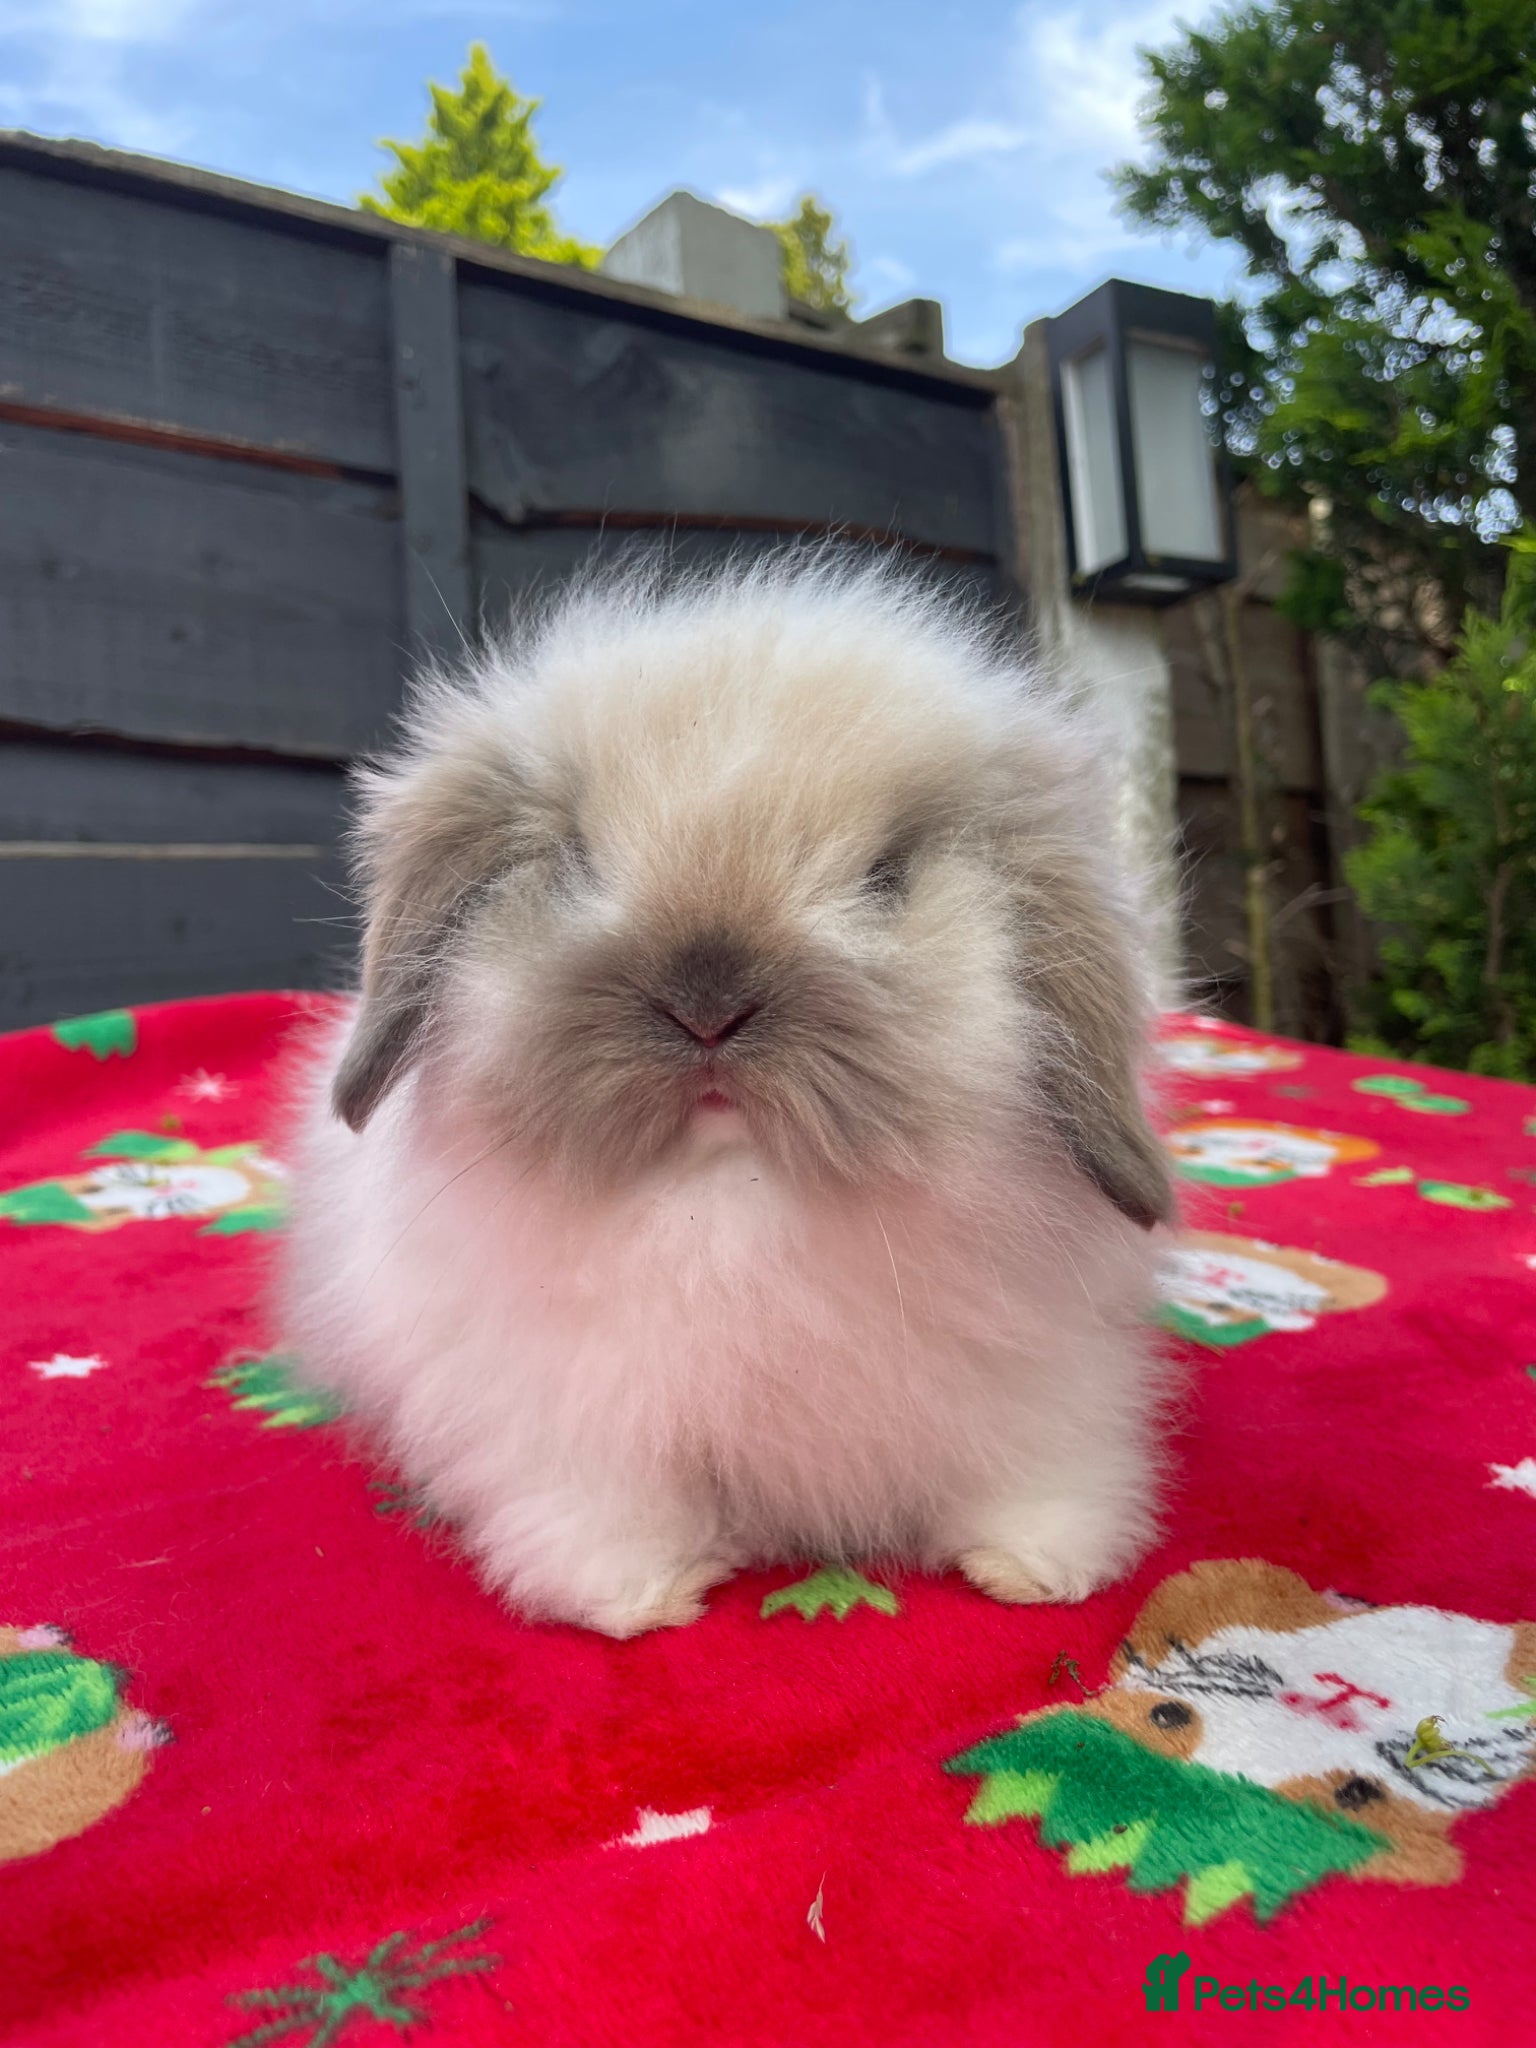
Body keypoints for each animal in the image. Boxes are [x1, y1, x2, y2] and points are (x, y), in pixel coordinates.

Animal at [277, 554, 1177, 1638]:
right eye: (576, 861)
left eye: (884, 875)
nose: (707, 1005)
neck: (733, 1199)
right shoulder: (568, 1416)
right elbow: (609, 1508)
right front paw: (644, 1596)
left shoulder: (1046, 1378)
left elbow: (1039, 1471)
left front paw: (1036, 1567)